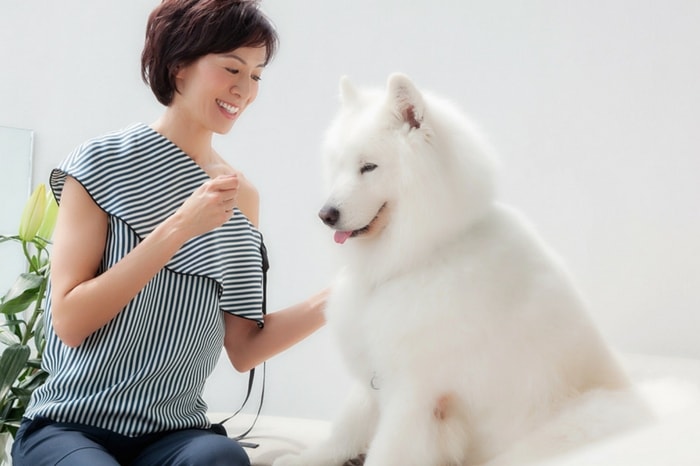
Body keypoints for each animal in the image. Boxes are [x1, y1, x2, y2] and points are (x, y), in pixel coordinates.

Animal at [274, 73, 652, 466]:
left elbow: (386, 449)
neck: (422, 255)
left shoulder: (414, 391)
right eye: (339, 166)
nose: (325, 215)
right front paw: (304, 459)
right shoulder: (375, 373)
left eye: (369, 167)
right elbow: (348, 425)